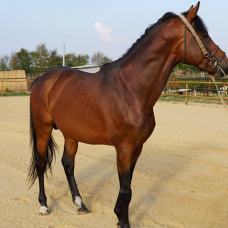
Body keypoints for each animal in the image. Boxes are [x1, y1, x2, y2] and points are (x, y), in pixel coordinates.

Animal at [28, 2, 228, 228]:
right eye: (203, 35)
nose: (225, 63)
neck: (130, 89)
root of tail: (42, 79)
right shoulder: (123, 148)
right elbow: (126, 190)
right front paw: (124, 222)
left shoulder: (137, 147)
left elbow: (128, 184)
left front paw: (118, 215)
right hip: (43, 129)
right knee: (41, 164)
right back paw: (44, 206)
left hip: (71, 133)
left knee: (68, 165)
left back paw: (80, 204)